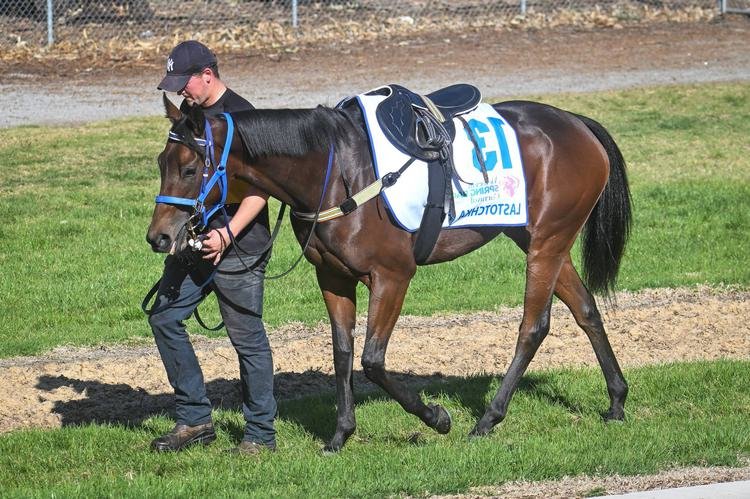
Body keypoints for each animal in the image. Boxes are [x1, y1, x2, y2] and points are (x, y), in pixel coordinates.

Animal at [145, 90, 628, 454]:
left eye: (190, 168)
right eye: (160, 163)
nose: (159, 237)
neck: (336, 170)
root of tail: (576, 122)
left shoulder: (393, 276)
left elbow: (373, 361)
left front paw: (436, 417)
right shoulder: (333, 278)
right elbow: (342, 353)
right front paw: (340, 434)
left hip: (547, 242)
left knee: (533, 326)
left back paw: (489, 417)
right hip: (537, 239)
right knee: (585, 309)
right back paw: (617, 400)